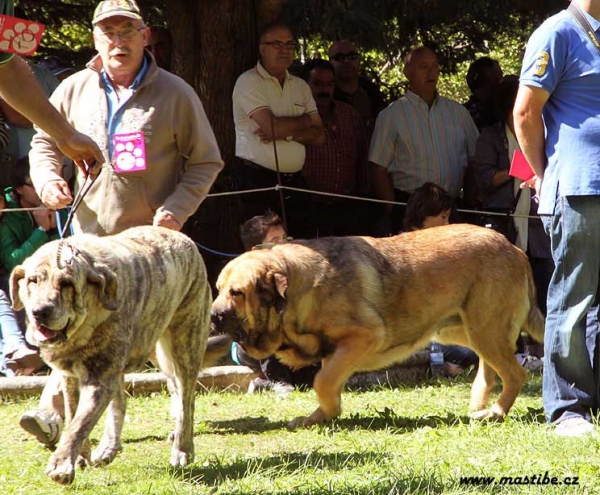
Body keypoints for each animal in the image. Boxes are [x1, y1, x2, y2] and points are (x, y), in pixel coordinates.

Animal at [9, 227, 218, 486]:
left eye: (66, 283)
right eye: (32, 281)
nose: (40, 311)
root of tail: (183, 237)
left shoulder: (99, 379)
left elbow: (79, 423)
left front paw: (61, 465)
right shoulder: (70, 377)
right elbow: (73, 414)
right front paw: (80, 457)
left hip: (184, 343)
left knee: (186, 401)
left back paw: (182, 450)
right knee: (139, 397)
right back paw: (109, 448)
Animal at [211, 225, 544, 430]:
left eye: (237, 293)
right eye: (218, 289)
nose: (213, 317)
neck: (298, 290)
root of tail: (514, 248)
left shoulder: (362, 338)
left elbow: (322, 380)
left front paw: (327, 411)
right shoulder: (337, 352)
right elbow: (327, 381)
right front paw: (320, 415)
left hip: (484, 328)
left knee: (514, 373)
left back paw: (496, 412)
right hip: (465, 329)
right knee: (490, 369)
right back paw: (478, 406)